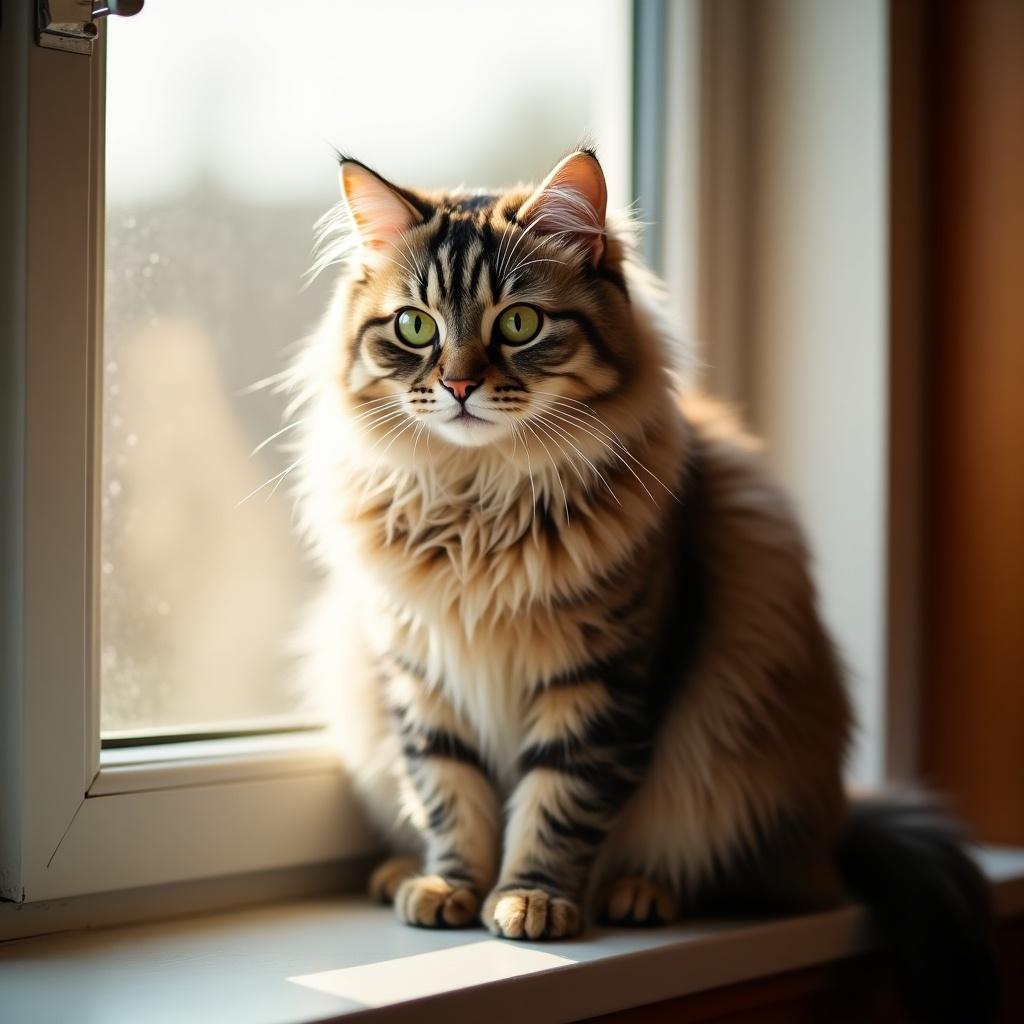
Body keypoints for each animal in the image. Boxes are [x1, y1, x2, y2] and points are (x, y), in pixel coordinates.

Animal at [292, 148, 995, 1019]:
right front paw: (451, 886)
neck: (479, 505)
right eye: (414, 328)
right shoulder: (421, 676)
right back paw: (400, 874)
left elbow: (557, 802)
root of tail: (837, 829)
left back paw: (639, 894)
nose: (457, 386)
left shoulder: (601, 680)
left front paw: (531, 899)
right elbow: (449, 791)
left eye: (518, 324)